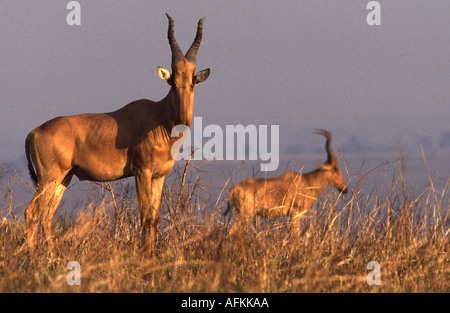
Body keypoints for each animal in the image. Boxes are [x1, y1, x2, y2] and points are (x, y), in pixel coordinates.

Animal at [22, 14, 209, 254]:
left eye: (192, 83)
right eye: (173, 83)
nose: (183, 122)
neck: (158, 117)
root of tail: (34, 132)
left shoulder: (158, 176)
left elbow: (155, 219)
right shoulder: (142, 172)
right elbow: (145, 217)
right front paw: (145, 256)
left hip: (63, 178)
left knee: (46, 216)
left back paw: (53, 258)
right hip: (48, 178)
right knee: (32, 213)